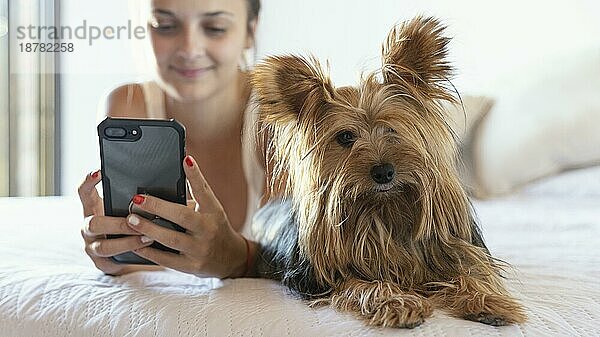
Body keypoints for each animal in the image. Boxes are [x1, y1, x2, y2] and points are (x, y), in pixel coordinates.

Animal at [251, 16, 528, 328]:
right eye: (345, 137)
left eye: (393, 128)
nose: (383, 172)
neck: (385, 209)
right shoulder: (326, 278)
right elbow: (363, 284)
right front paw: (398, 303)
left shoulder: (455, 249)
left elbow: (471, 271)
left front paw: (488, 302)